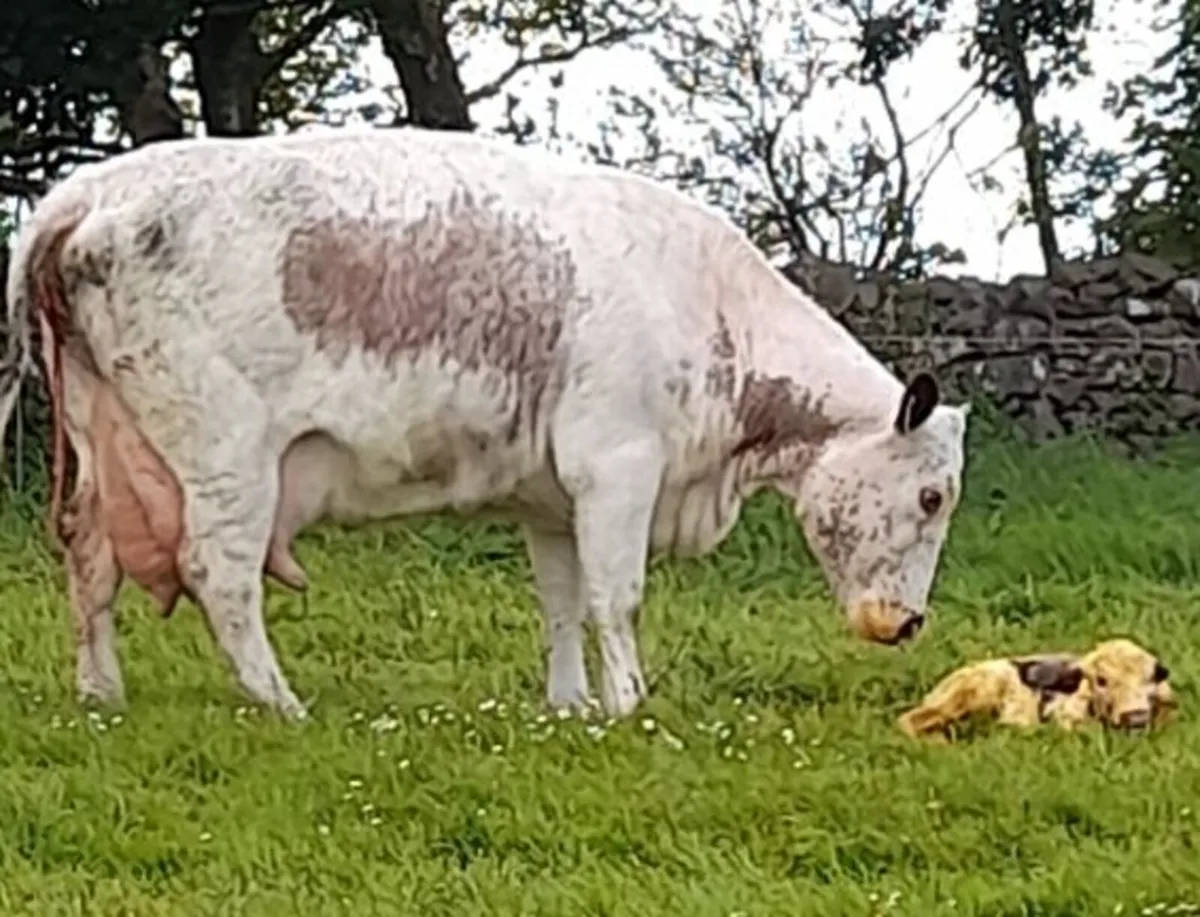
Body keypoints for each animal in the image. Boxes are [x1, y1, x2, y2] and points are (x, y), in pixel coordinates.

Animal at [0, 126, 970, 721]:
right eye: (930, 497)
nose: (910, 624)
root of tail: (89, 190)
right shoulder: (617, 465)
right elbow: (616, 596)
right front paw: (630, 702)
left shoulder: (552, 498)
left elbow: (562, 601)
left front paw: (571, 704)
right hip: (226, 454)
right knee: (220, 574)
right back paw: (282, 703)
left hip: (105, 443)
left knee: (89, 557)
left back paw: (102, 693)